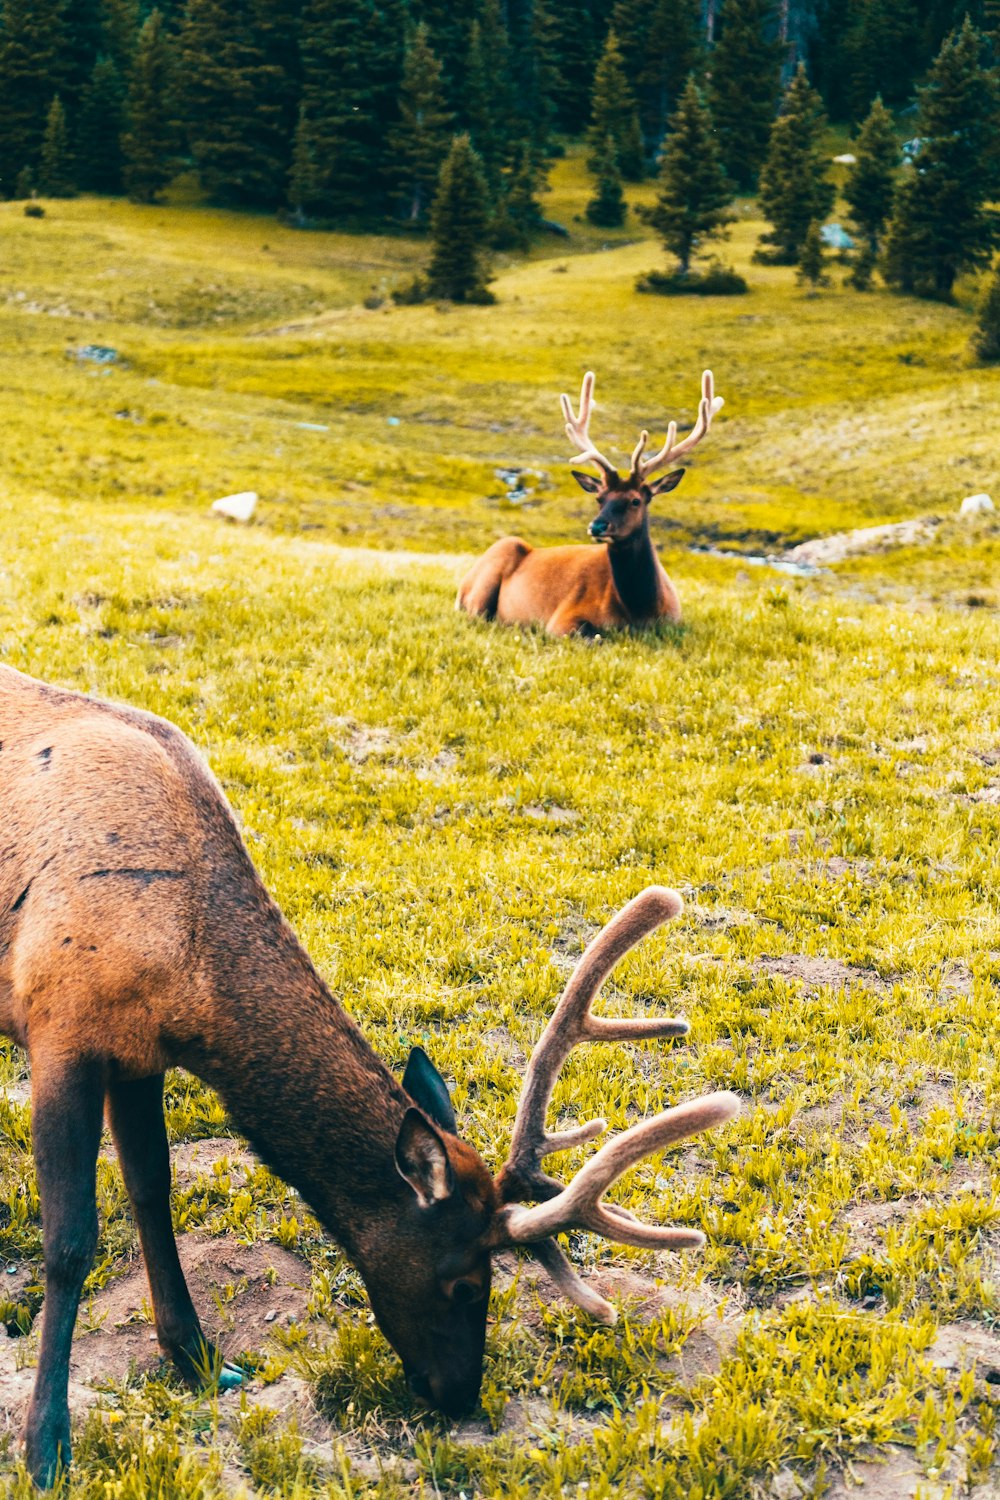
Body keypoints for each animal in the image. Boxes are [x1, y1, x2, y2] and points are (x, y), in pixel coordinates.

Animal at [0, 666, 734, 1488]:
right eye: (465, 1281)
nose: (460, 1397)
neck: (185, 966)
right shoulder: (61, 1027)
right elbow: (70, 1243)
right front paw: (46, 1447)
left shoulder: (140, 1054)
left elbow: (152, 1193)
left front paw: (198, 1358)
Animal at [458, 375, 722, 639]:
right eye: (600, 498)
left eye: (635, 500)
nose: (597, 526)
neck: (640, 610)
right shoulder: (560, 619)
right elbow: (594, 637)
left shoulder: (676, 622)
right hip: (491, 570)